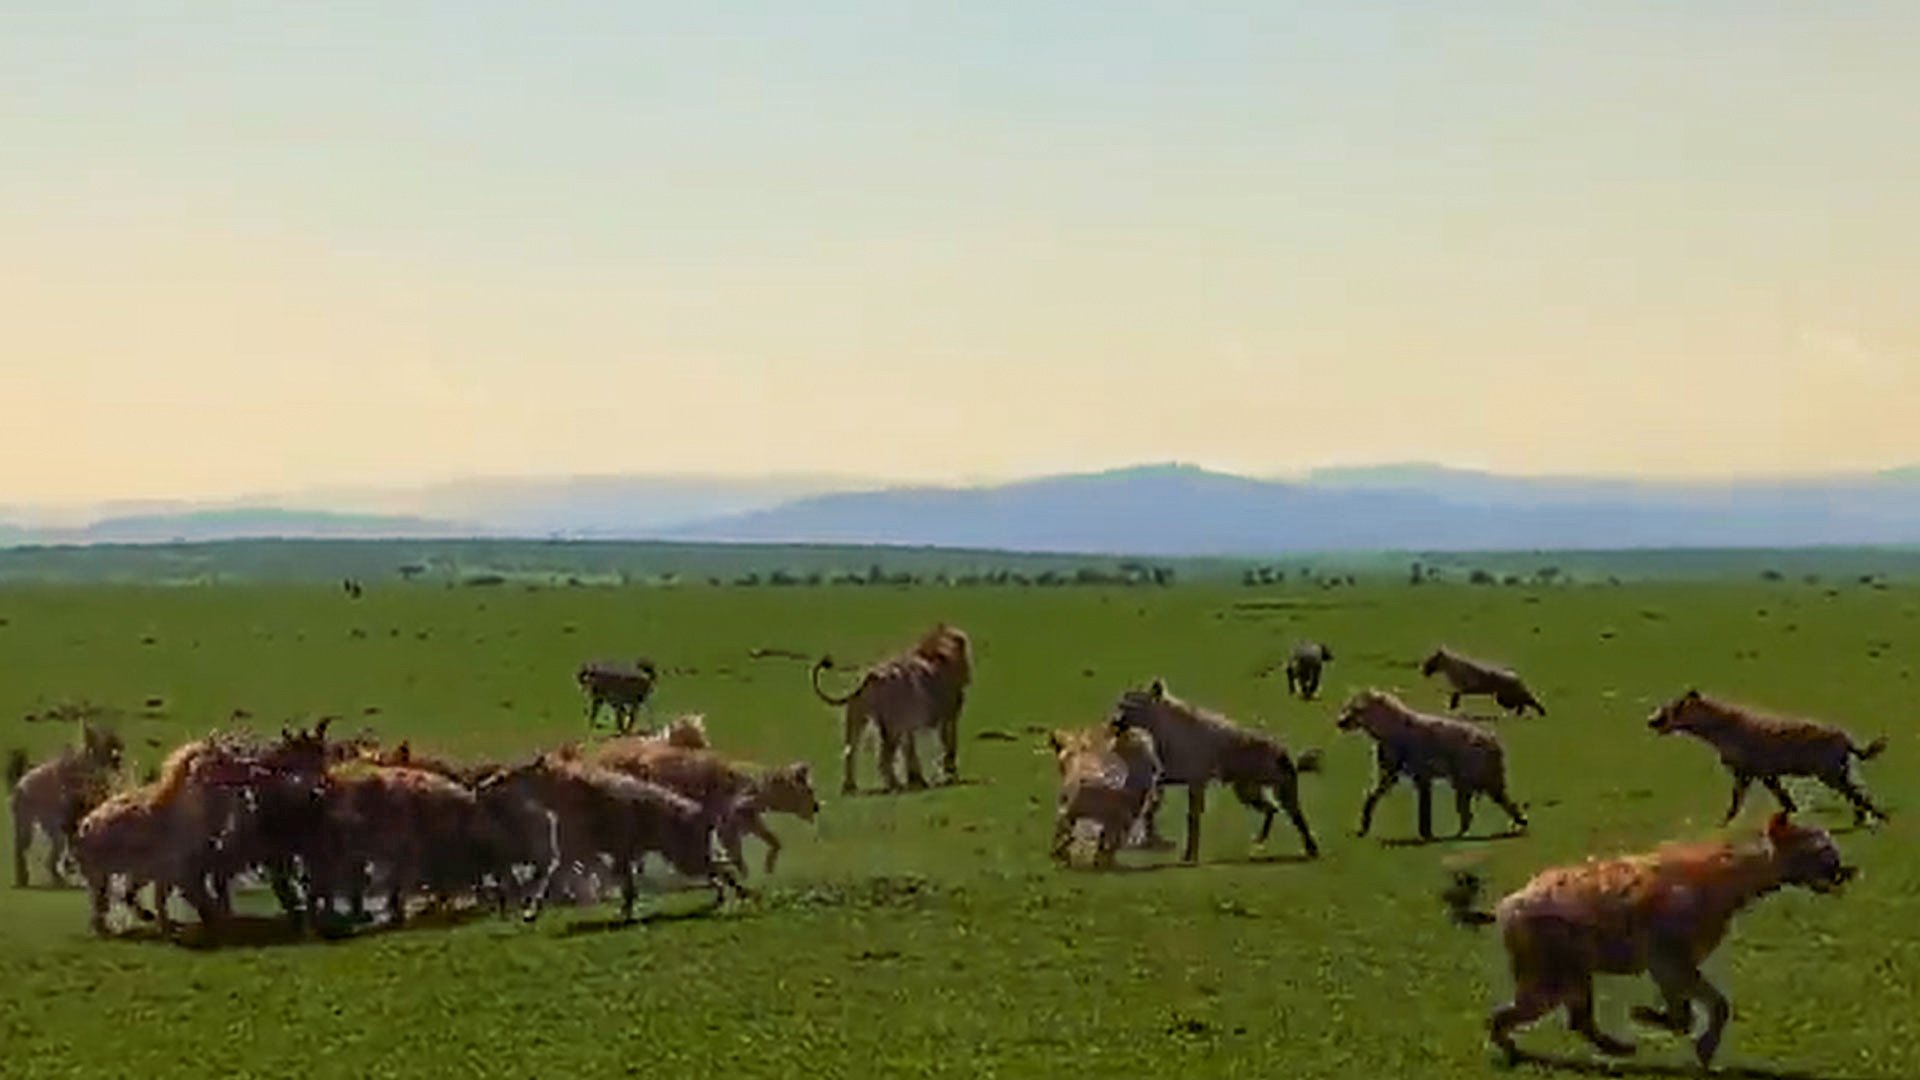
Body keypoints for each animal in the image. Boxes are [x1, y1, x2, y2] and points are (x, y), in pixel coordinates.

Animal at [811, 623, 971, 795]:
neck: (935, 653)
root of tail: (873, 675)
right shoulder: (948, 718)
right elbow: (949, 746)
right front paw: (949, 775)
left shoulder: (908, 724)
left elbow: (909, 750)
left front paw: (917, 780)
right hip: (891, 727)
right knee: (883, 757)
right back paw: (895, 785)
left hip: (857, 721)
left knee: (850, 753)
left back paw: (850, 787)